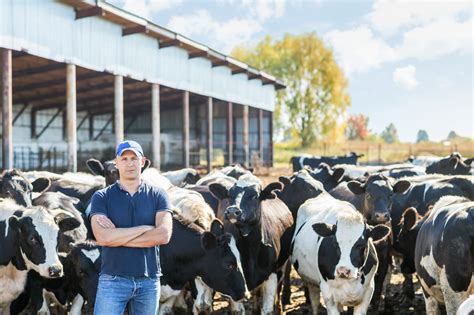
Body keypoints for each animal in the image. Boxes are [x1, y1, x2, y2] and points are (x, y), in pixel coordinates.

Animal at [210, 174, 294, 314]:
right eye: (230, 194)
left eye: (254, 195)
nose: (232, 211)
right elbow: (238, 310)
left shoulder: (272, 273)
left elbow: (267, 309)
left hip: (282, 266)